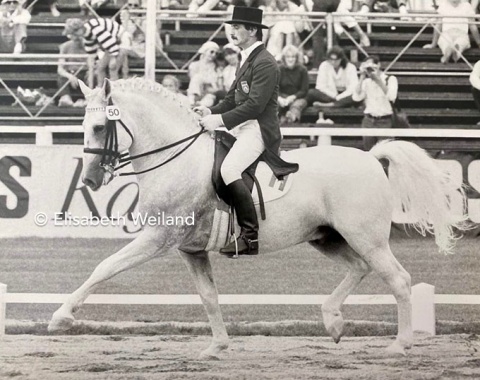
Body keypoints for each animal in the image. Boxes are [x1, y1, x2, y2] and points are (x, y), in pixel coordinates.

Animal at [49, 78, 468, 360]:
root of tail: (371, 157)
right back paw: (333, 321)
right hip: (328, 237)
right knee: (359, 268)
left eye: (100, 127)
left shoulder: (157, 239)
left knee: (398, 280)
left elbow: (104, 267)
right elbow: (208, 296)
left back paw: (399, 344)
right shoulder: (190, 250)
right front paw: (217, 347)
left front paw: (61, 317)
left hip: (366, 238)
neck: (176, 158)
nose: (89, 180)